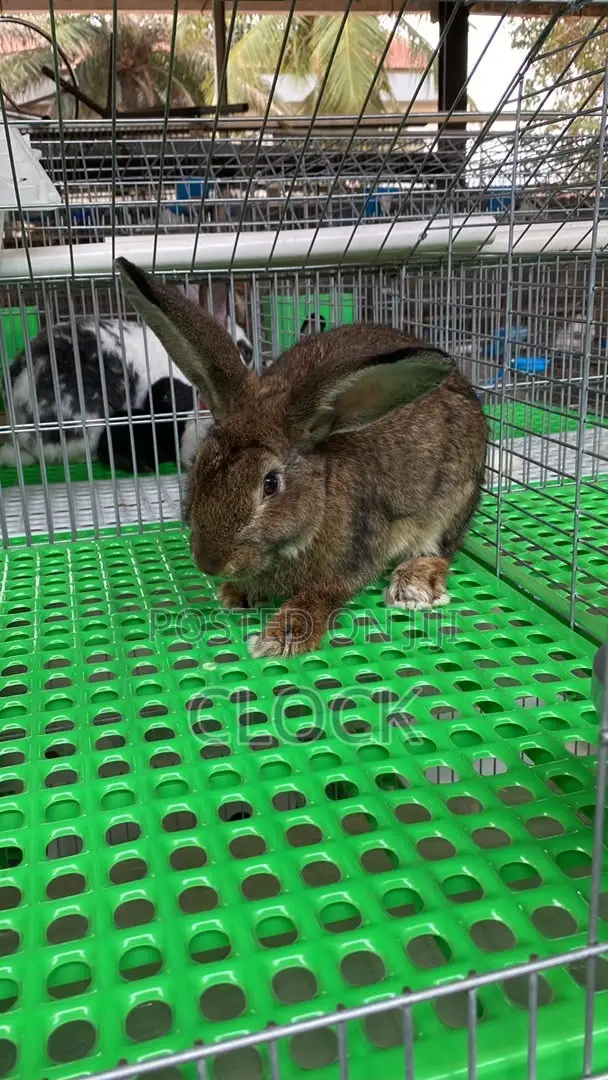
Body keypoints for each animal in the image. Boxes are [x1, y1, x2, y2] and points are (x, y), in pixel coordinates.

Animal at [116, 257, 488, 659]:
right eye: (200, 464)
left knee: (444, 548)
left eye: (270, 484)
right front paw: (236, 595)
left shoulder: (356, 554)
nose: (209, 563)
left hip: (452, 501)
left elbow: (323, 596)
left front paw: (281, 637)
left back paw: (413, 584)